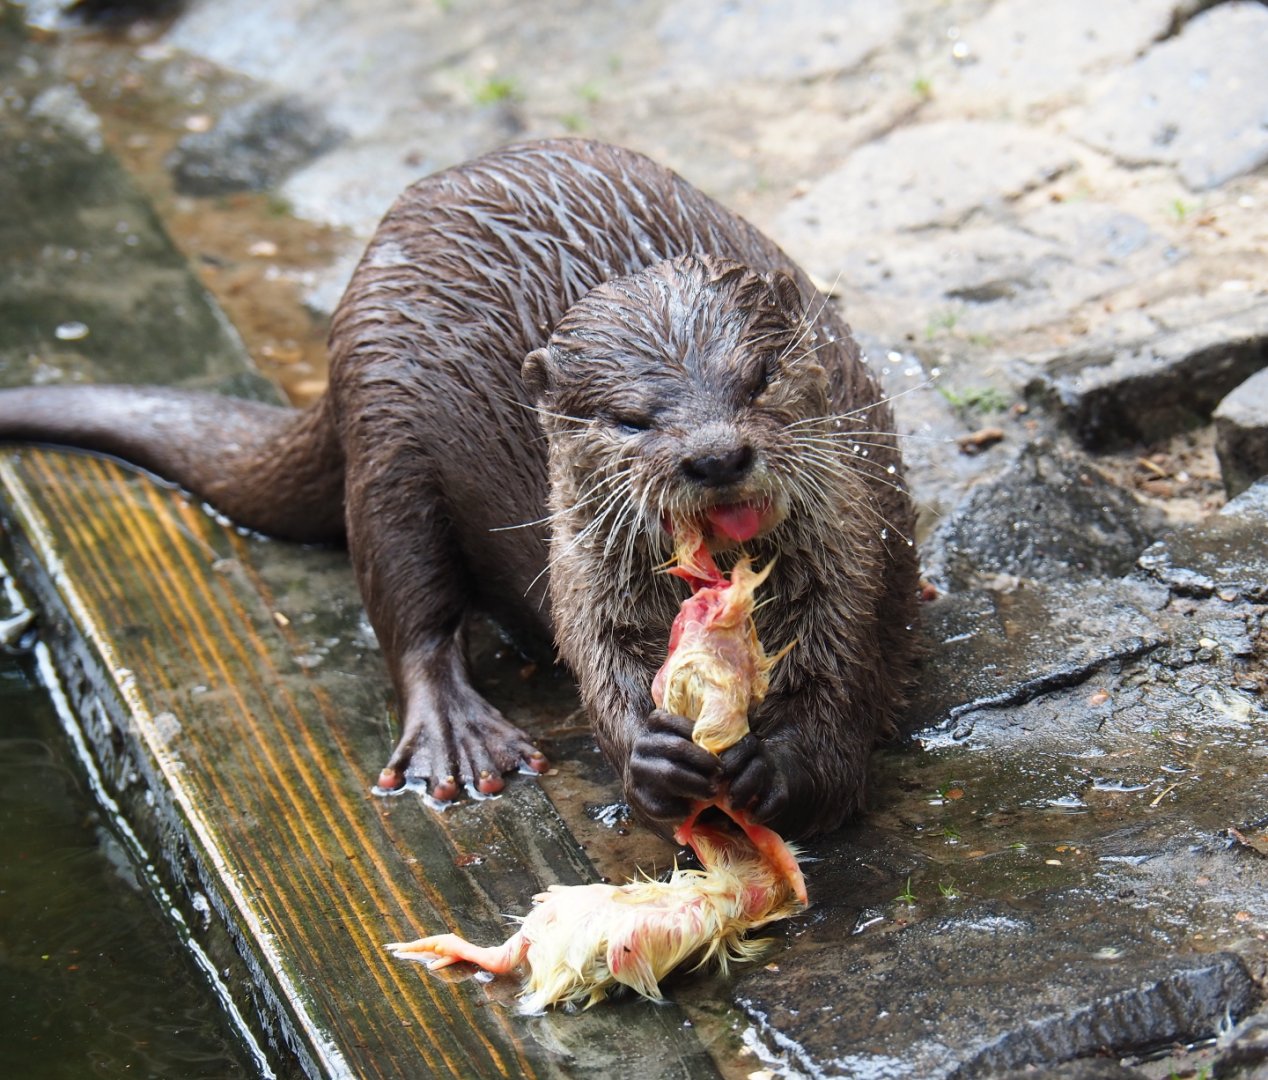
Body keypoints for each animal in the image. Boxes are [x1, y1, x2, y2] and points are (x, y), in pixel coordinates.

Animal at [0, 139, 918, 838]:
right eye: (630, 420)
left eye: (758, 379)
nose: (717, 455)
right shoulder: (582, 575)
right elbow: (598, 664)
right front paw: (651, 757)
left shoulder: (859, 560)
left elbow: (847, 700)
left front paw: (784, 763)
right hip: (386, 437)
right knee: (409, 606)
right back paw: (454, 740)